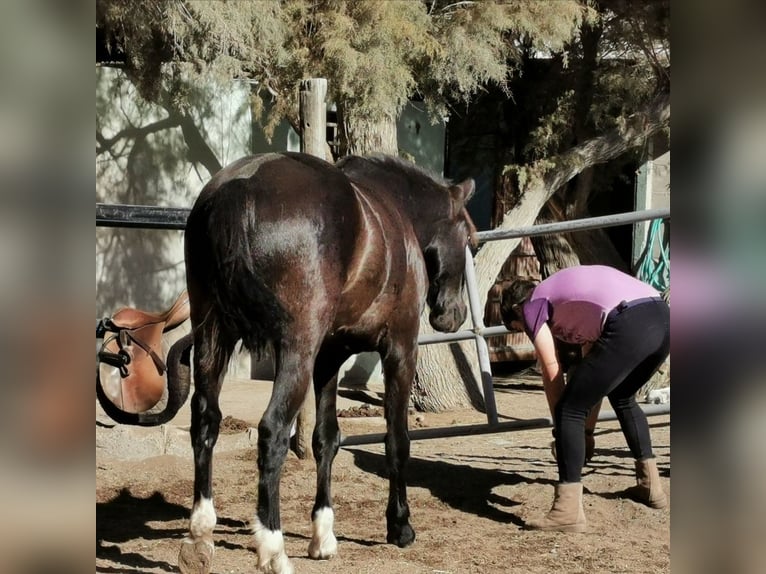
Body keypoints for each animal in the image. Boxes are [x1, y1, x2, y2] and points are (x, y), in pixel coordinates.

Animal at [179, 152, 476, 574]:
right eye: (469, 239)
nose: (453, 316)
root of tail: (237, 188)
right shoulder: (400, 349)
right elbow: (397, 440)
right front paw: (399, 525)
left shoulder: (328, 358)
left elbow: (326, 438)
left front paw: (323, 536)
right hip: (295, 350)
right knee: (272, 431)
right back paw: (272, 547)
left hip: (211, 336)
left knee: (206, 420)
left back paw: (201, 532)